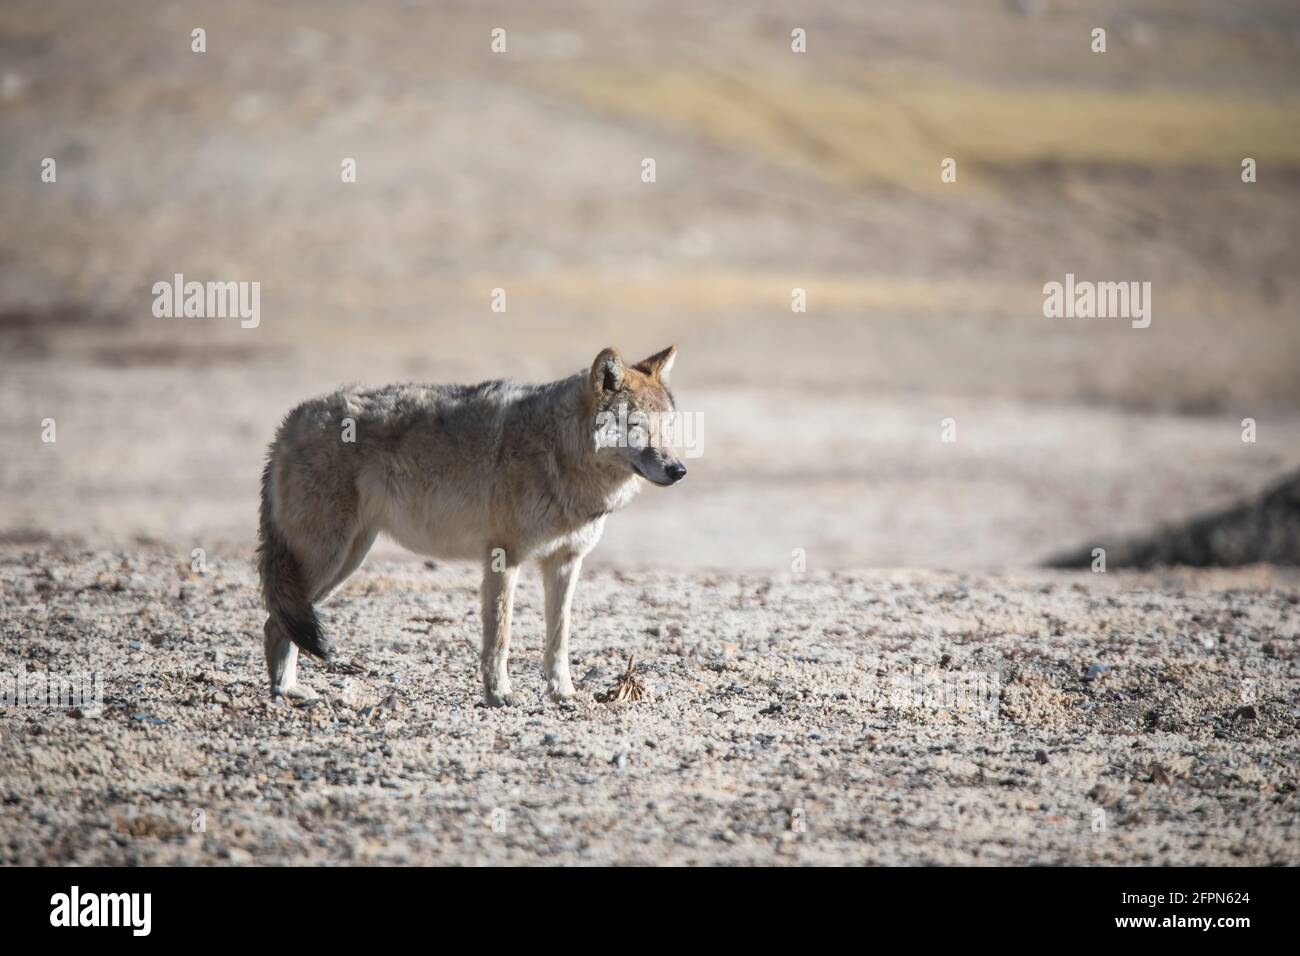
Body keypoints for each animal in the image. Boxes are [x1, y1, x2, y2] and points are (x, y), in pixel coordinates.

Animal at [253, 348, 686, 707]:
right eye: (636, 425)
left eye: (667, 427)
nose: (678, 470)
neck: (559, 453)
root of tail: (291, 421)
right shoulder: (503, 556)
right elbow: (500, 637)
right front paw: (499, 695)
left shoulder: (565, 562)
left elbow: (559, 639)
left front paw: (563, 693)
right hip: (328, 560)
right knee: (275, 621)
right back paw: (283, 692)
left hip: (347, 560)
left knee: (281, 620)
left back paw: (288, 689)